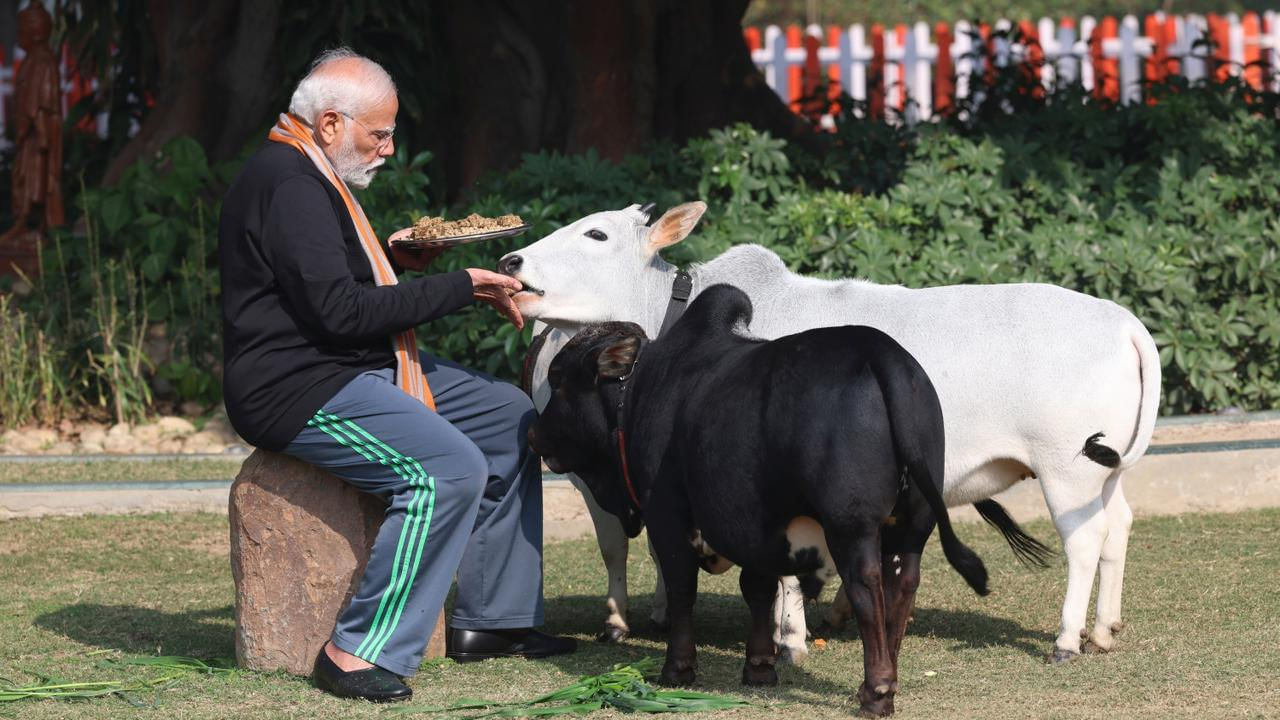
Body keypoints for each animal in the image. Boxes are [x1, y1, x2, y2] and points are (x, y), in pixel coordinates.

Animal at [504, 202, 1167, 661]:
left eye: (596, 234)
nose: (511, 262)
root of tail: (1122, 320)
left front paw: (790, 638)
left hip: (1065, 467)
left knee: (1085, 539)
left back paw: (1067, 638)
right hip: (1100, 471)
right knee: (1118, 526)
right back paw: (1103, 629)